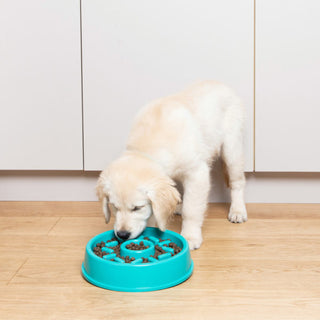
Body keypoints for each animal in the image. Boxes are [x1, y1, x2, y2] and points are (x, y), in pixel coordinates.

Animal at [96, 80, 246, 250]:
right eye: (114, 206)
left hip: (232, 148)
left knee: (237, 182)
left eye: (137, 208)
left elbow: (191, 209)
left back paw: (238, 210)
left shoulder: (197, 174)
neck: (147, 149)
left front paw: (190, 236)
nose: (122, 234)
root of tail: (219, 83)